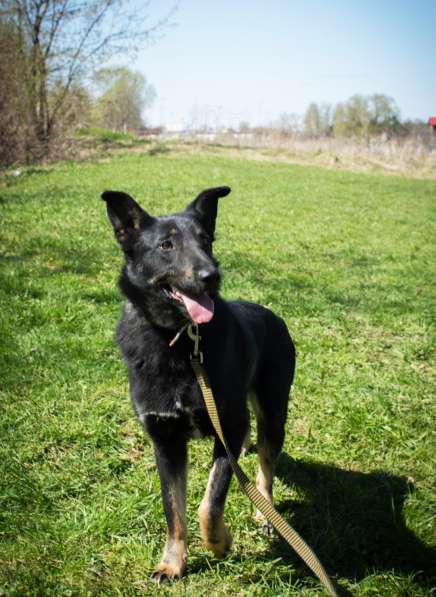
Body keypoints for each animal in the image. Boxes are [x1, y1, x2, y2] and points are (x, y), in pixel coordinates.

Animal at [101, 186, 296, 584]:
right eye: (166, 245)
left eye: (206, 240)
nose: (211, 275)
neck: (179, 340)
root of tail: (272, 314)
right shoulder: (166, 442)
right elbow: (173, 510)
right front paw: (172, 562)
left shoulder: (228, 430)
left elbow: (211, 501)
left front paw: (220, 543)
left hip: (273, 416)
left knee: (266, 468)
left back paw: (265, 512)